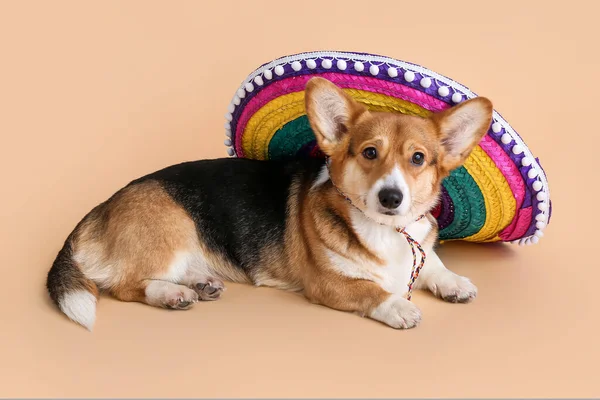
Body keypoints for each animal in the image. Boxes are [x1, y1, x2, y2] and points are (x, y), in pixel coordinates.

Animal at [43, 76, 492, 330]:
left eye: (418, 158)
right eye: (369, 153)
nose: (391, 197)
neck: (386, 231)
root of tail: (97, 212)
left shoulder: (419, 245)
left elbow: (433, 264)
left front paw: (454, 282)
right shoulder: (328, 283)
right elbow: (371, 291)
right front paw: (398, 306)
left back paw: (198, 284)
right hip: (172, 230)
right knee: (124, 285)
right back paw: (171, 295)